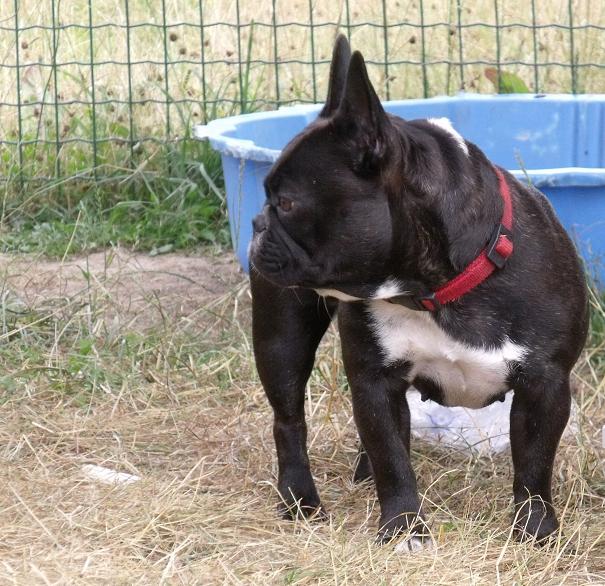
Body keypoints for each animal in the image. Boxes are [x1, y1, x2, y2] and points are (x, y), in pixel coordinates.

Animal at [248, 35, 588, 549]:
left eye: (286, 202)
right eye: (269, 197)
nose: (257, 222)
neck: (434, 289)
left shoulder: (544, 384)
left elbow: (533, 465)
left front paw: (535, 531)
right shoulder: (374, 378)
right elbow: (393, 458)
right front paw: (405, 527)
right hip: (281, 334)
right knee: (289, 419)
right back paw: (300, 500)